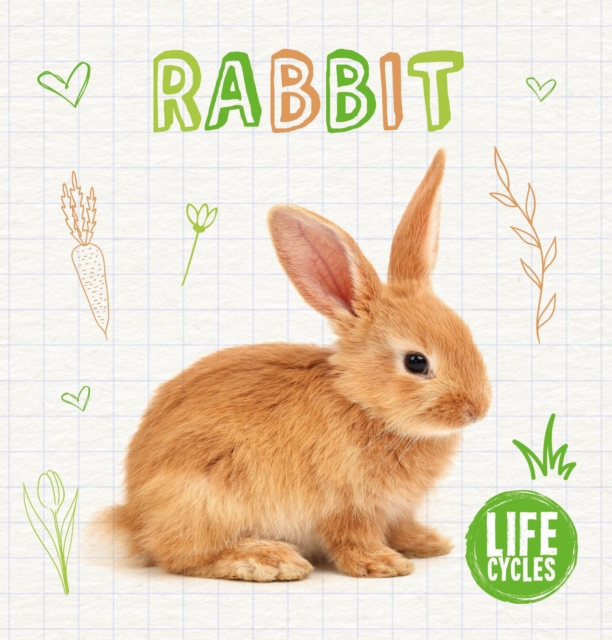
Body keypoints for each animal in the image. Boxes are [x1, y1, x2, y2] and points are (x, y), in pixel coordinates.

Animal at [102, 148, 491, 582]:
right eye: (416, 362)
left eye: (466, 333)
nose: (477, 409)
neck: (362, 403)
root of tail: (134, 517)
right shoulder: (346, 505)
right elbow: (352, 539)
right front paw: (385, 564)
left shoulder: (395, 509)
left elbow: (400, 526)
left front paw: (428, 543)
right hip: (203, 496)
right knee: (183, 555)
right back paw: (269, 559)